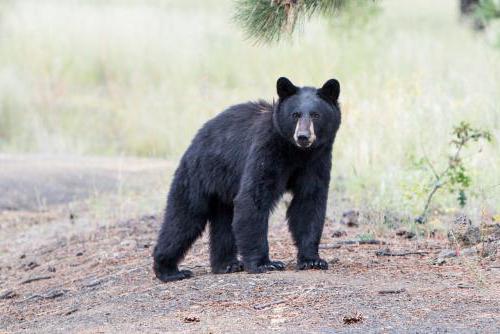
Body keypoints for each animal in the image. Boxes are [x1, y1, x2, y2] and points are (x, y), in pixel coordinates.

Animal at [152, 77, 340, 282]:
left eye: (315, 115)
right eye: (295, 115)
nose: (303, 136)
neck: (297, 152)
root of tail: (196, 138)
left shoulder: (317, 160)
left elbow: (309, 202)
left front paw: (312, 260)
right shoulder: (266, 149)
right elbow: (253, 198)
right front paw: (265, 263)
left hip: (223, 187)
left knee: (224, 222)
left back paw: (227, 264)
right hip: (199, 174)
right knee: (183, 218)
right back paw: (169, 270)